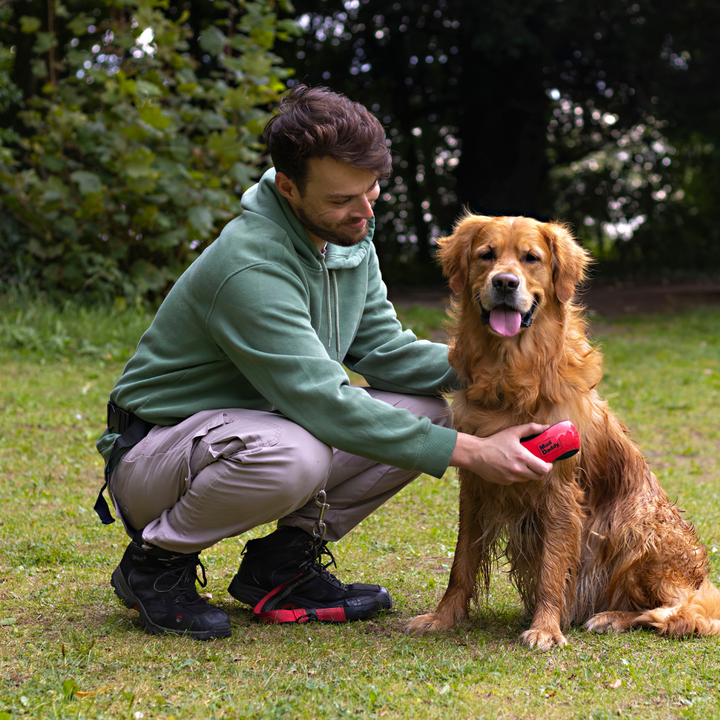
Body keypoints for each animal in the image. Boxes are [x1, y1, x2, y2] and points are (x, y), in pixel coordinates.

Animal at [408, 212, 716, 648]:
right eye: (486, 255)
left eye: (531, 258)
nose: (505, 282)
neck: (510, 376)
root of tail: (701, 580)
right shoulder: (475, 483)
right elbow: (461, 562)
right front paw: (443, 617)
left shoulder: (560, 487)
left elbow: (552, 567)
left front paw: (545, 627)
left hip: (638, 524)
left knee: (684, 612)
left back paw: (613, 617)